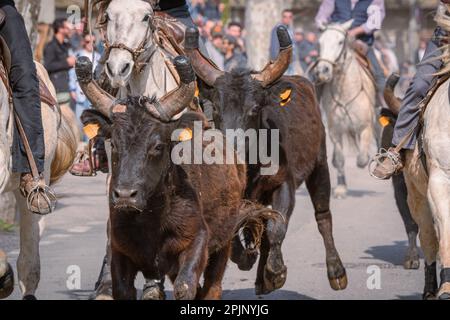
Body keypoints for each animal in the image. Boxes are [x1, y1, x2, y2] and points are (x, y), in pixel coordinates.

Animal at [314, 20, 378, 198]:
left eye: (340, 42)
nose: (322, 70)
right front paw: (341, 187)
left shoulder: (365, 127)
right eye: (320, 42)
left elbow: (362, 158)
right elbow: (340, 158)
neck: (345, 91)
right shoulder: (335, 131)